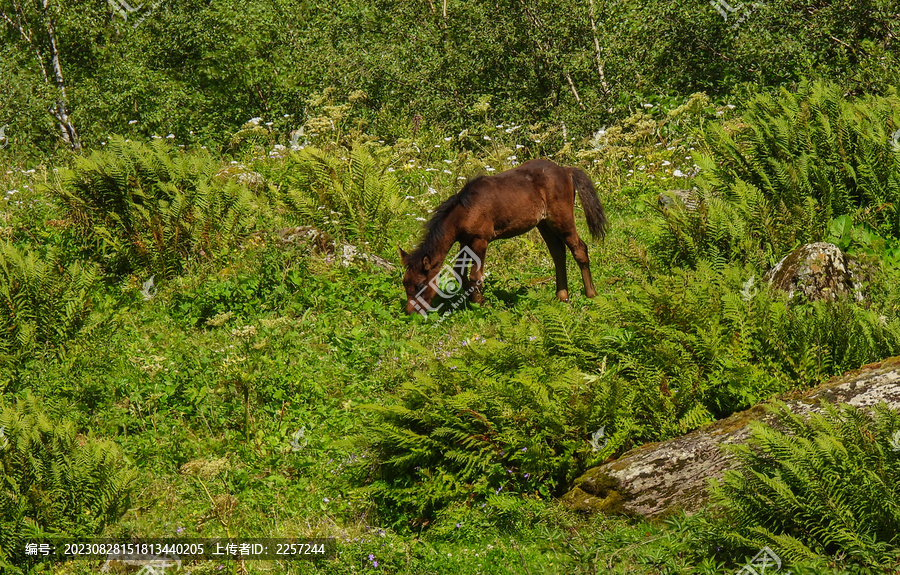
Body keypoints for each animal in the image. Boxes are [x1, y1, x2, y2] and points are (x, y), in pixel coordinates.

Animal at [400, 159, 604, 316]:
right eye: (405, 283)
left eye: (420, 285)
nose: (410, 312)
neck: (465, 210)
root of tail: (566, 170)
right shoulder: (464, 242)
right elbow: (460, 273)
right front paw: (469, 302)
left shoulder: (480, 240)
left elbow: (475, 276)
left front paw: (479, 305)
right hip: (544, 224)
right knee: (558, 253)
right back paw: (562, 296)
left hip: (562, 219)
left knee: (579, 249)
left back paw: (591, 294)